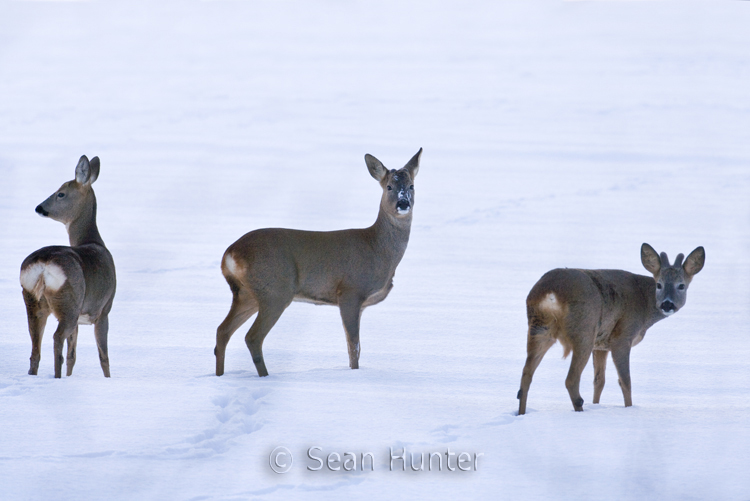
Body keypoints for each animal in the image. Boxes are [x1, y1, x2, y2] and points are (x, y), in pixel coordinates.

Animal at [19, 155, 117, 376]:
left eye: (61, 194)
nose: (39, 208)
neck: (94, 241)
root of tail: (44, 265)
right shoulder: (104, 308)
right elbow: (104, 357)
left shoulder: (85, 316)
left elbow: (73, 355)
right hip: (69, 301)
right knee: (56, 339)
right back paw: (56, 377)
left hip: (33, 300)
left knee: (35, 350)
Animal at [214, 148, 424, 376]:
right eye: (389, 186)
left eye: (412, 186)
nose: (403, 204)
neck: (377, 249)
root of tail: (230, 253)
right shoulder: (350, 291)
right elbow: (353, 346)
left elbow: (356, 347)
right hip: (275, 290)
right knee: (252, 337)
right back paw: (265, 377)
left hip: (246, 294)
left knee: (222, 331)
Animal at [516, 243, 704, 414]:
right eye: (659, 284)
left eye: (681, 285)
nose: (667, 304)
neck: (644, 308)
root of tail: (551, 292)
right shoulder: (622, 336)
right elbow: (625, 381)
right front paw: (629, 409)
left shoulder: (601, 345)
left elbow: (599, 381)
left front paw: (596, 404)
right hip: (584, 330)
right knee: (571, 379)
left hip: (539, 328)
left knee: (526, 376)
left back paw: (522, 413)